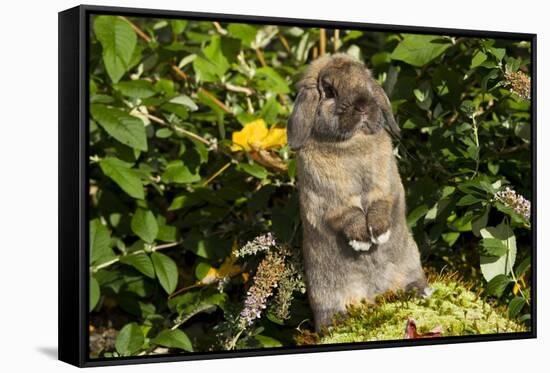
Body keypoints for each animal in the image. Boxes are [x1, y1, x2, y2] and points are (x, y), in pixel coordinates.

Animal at [288, 53, 432, 332]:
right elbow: (349, 215)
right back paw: (336, 323)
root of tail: (375, 294)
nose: (363, 106)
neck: (352, 143)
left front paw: (378, 233)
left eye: (367, 83)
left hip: (410, 264)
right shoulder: (330, 202)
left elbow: (380, 205)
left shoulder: (386, 188)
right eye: (329, 91)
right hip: (326, 293)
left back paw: (419, 291)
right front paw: (363, 240)